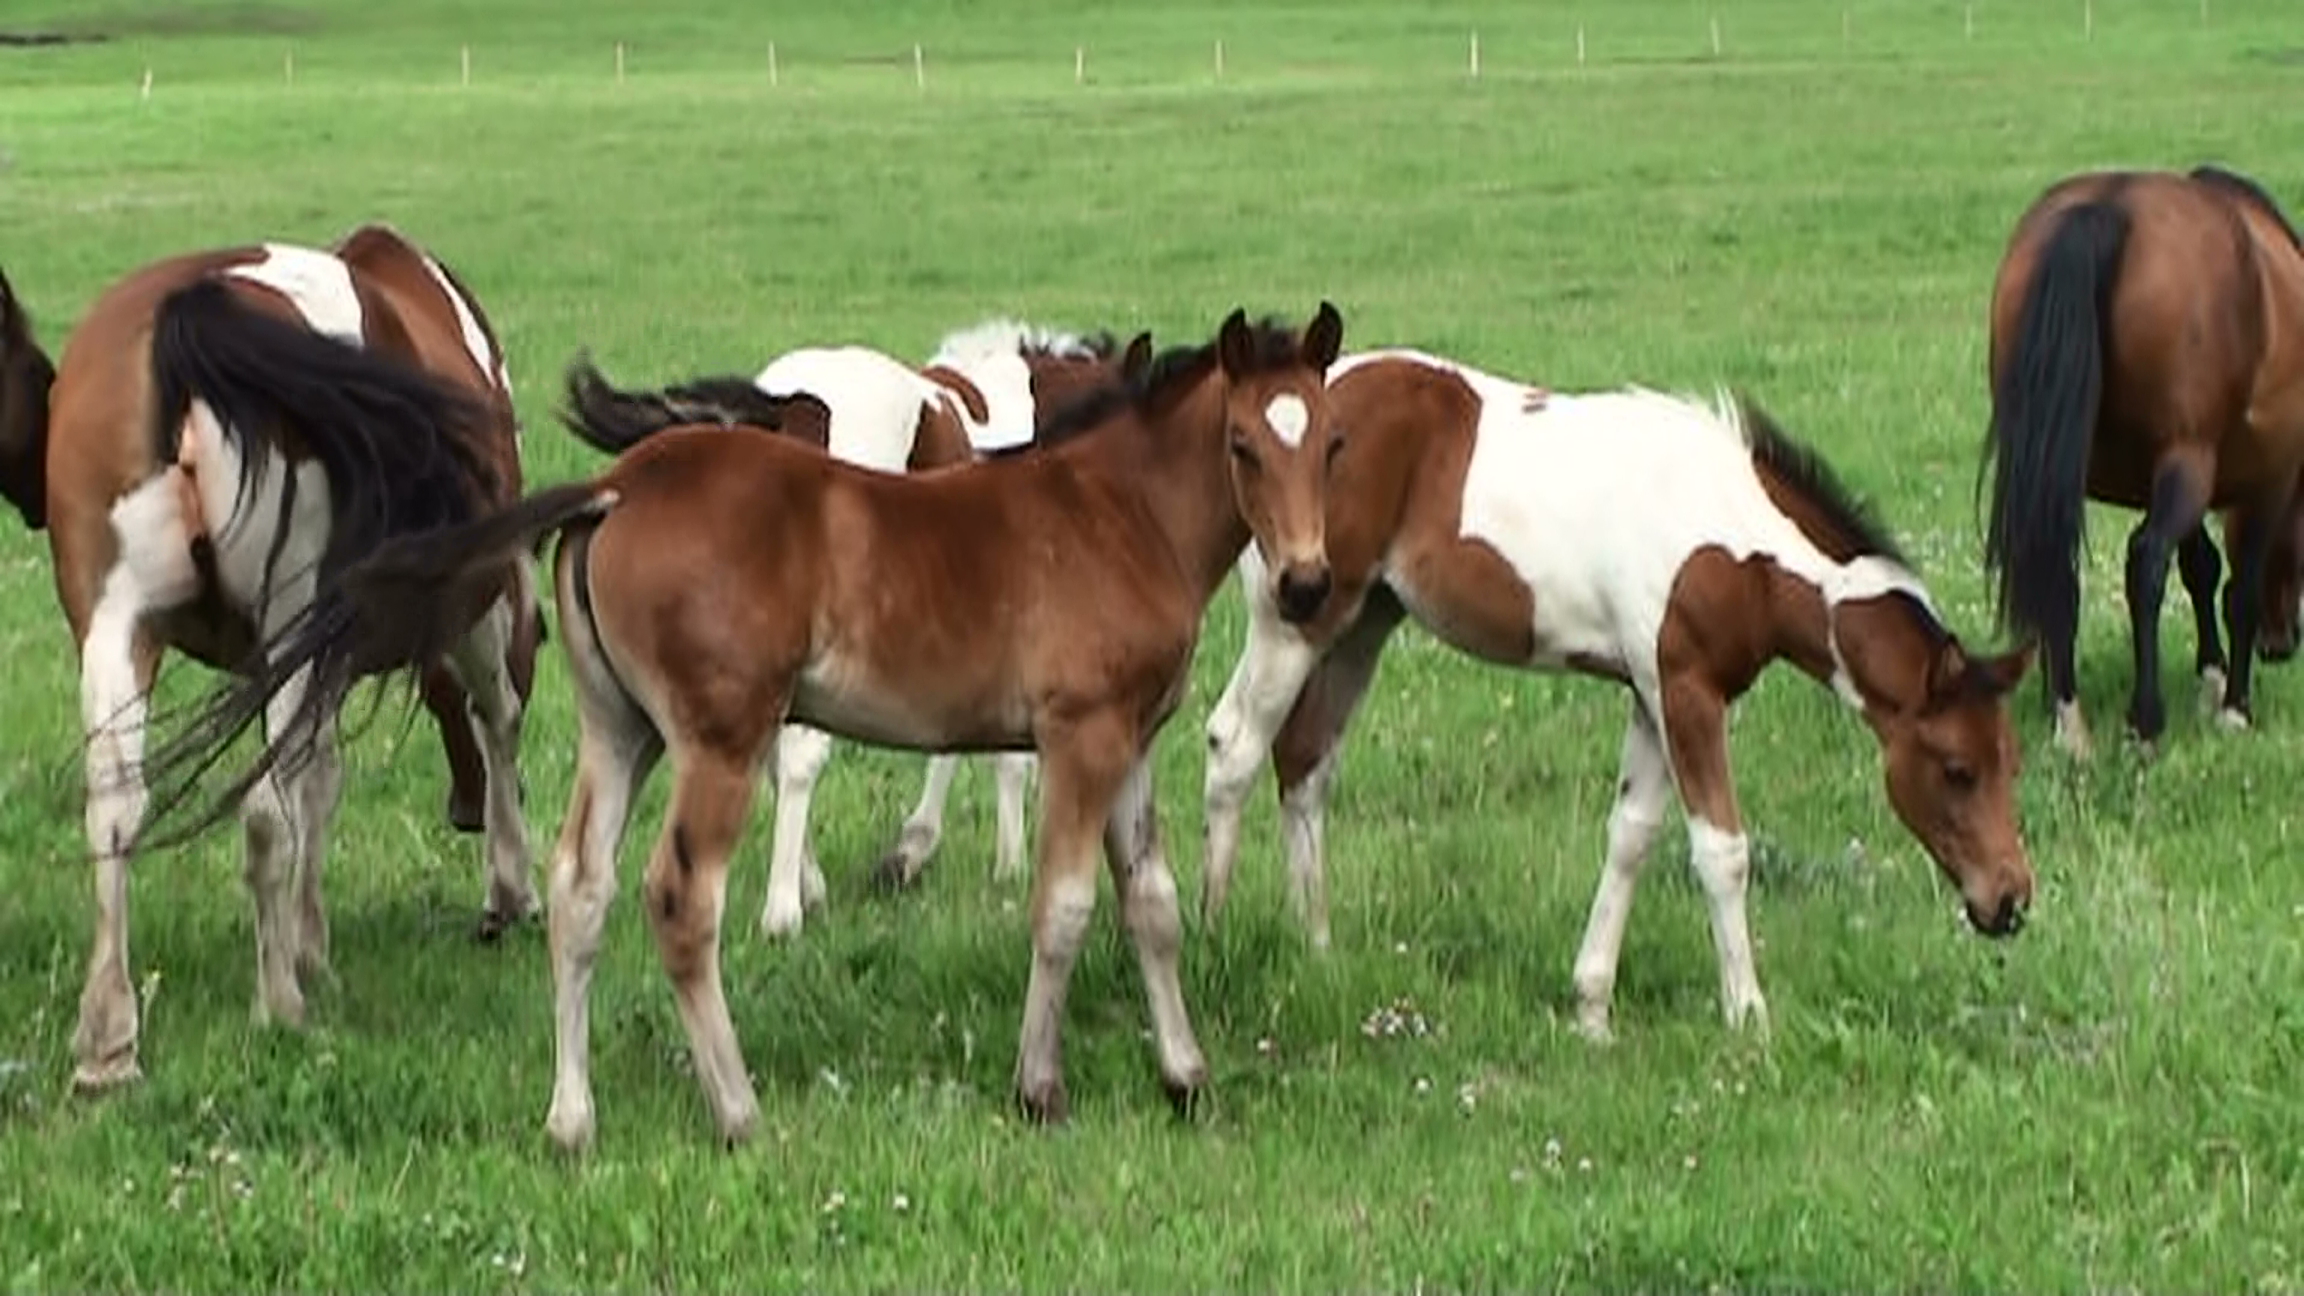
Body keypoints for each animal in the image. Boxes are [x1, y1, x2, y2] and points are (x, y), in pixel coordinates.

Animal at [18, 227, 539, 1083]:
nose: (458, 811)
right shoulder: (475, 613)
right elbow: (493, 723)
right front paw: (508, 888)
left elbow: (318, 781)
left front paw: (309, 945)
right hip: (291, 623)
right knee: (264, 811)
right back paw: (278, 1005)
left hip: (116, 626)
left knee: (115, 807)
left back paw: (109, 1038)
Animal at [557, 315, 1133, 931]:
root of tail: (788, 403)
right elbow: (991, 751)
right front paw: (980, 858)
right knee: (799, 757)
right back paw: (784, 908)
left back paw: (808, 885)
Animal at [1207, 348, 2036, 1033]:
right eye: (1957, 769)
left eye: (2011, 763)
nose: (2010, 901)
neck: (1740, 547)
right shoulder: (1688, 690)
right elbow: (1722, 851)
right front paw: (1749, 1017)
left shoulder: (1652, 693)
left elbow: (1631, 836)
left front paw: (1592, 1010)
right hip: (1294, 622)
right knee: (1234, 747)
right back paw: (1216, 940)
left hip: (1364, 624)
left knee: (1305, 766)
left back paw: (1317, 949)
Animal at [1972, 164, 2304, 751]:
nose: (2281, 644)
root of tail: (2107, 208)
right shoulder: (2268, 481)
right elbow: (2237, 587)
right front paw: (2233, 707)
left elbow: (2200, 567)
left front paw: (2212, 676)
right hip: (2188, 464)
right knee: (2146, 563)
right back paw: (2144, 723)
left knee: (2061, 570)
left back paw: (2068, 720)